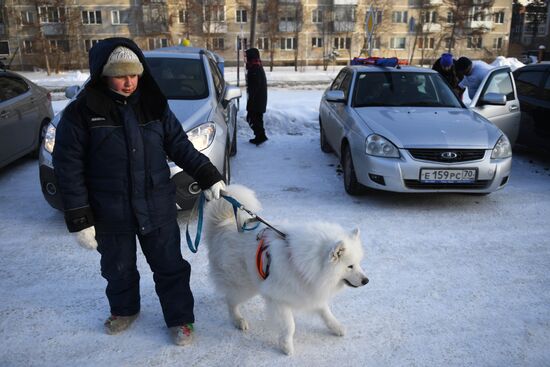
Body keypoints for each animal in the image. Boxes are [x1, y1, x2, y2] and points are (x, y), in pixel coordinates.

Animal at [204, 185, 370, 356]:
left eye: (358, 263)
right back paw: (238, 320)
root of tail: (224, 224)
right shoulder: (278, 299)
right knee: (230, 301)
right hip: (244, 286)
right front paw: (286, 347)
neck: (308, 264)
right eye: (350, 266)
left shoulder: (310, 291)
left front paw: (336, 327)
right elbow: (290, 326)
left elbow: (325, 312)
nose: (366, 281)